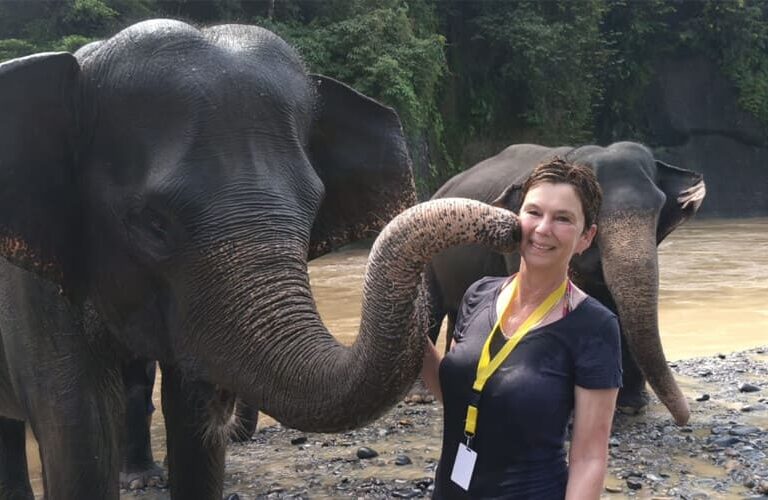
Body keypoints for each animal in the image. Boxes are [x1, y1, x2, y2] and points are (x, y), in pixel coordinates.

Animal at [0, 18, 523, 499]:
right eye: (153, 222)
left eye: (314, 205)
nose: (513, 226)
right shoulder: (34, 282)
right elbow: (83, 426)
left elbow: (191, 425)